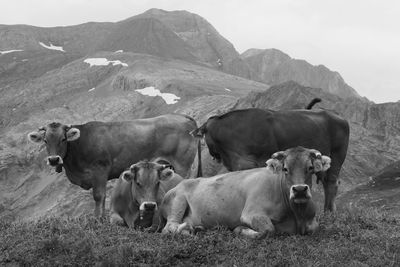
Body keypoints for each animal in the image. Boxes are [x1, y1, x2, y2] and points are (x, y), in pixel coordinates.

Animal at [28, 114, 202, 218]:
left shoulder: (100, 170)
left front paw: (98, 219)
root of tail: (183, 117)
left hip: (182, 164)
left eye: (63, 139)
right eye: (45, 141)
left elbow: (99, 196)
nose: (53, 160)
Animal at [159, 147, 332, 239]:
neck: (296, 215)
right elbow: (268, 230)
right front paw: (240, 229)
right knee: (169, 227)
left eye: (310, 168)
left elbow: (314, 228)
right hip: (177, 200)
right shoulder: (251, 213)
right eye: (285, 169)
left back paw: (196, 228)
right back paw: (187, 230)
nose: (300, 190)